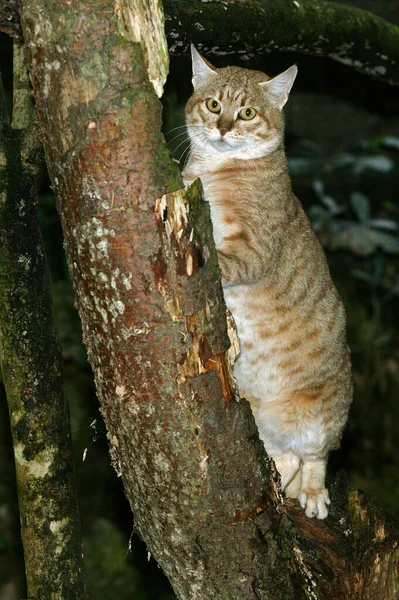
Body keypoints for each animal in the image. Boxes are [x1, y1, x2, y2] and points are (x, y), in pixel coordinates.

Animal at [182, 44, 354, 516]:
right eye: (214, 105)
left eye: (246, 113)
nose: (223, 129)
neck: (216, 167)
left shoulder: (253, 249)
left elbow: (222, 262)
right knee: (285, 460)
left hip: (319, 417)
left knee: (312, 458)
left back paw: (313, 493)